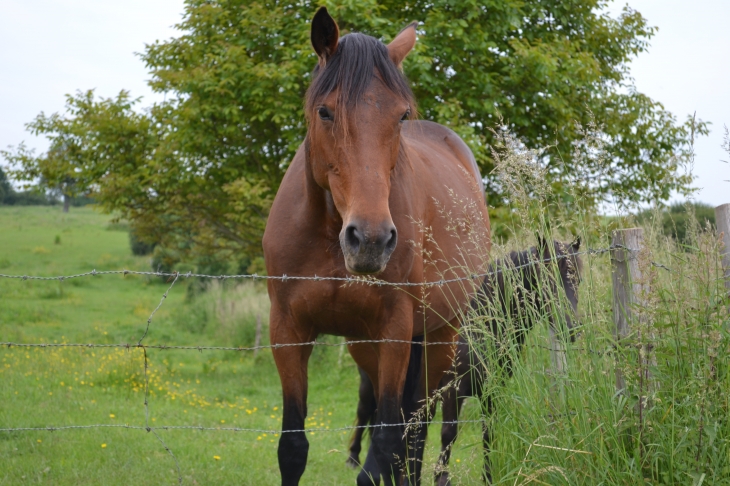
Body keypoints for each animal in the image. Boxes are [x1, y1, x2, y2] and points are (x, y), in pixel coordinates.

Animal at [262, 6, 490, 486]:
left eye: (400, 116)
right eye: (325, 111)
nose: (369, 240)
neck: (330, 236)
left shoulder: (395, 331)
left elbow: (386, 445)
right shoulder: (288, 331)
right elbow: (292, 447)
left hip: (440, 336)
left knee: (416, 430)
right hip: (365, 347)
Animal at [344, 236, 584, 482]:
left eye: (578, 279)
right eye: (546, 277)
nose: (570, 327)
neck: (479, 323)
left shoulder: (492, 390)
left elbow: (489, 432)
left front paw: (487, 477)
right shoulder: (454, 389)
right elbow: (449, 433)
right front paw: (441, 477)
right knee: (365, 412)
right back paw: (353, 457)